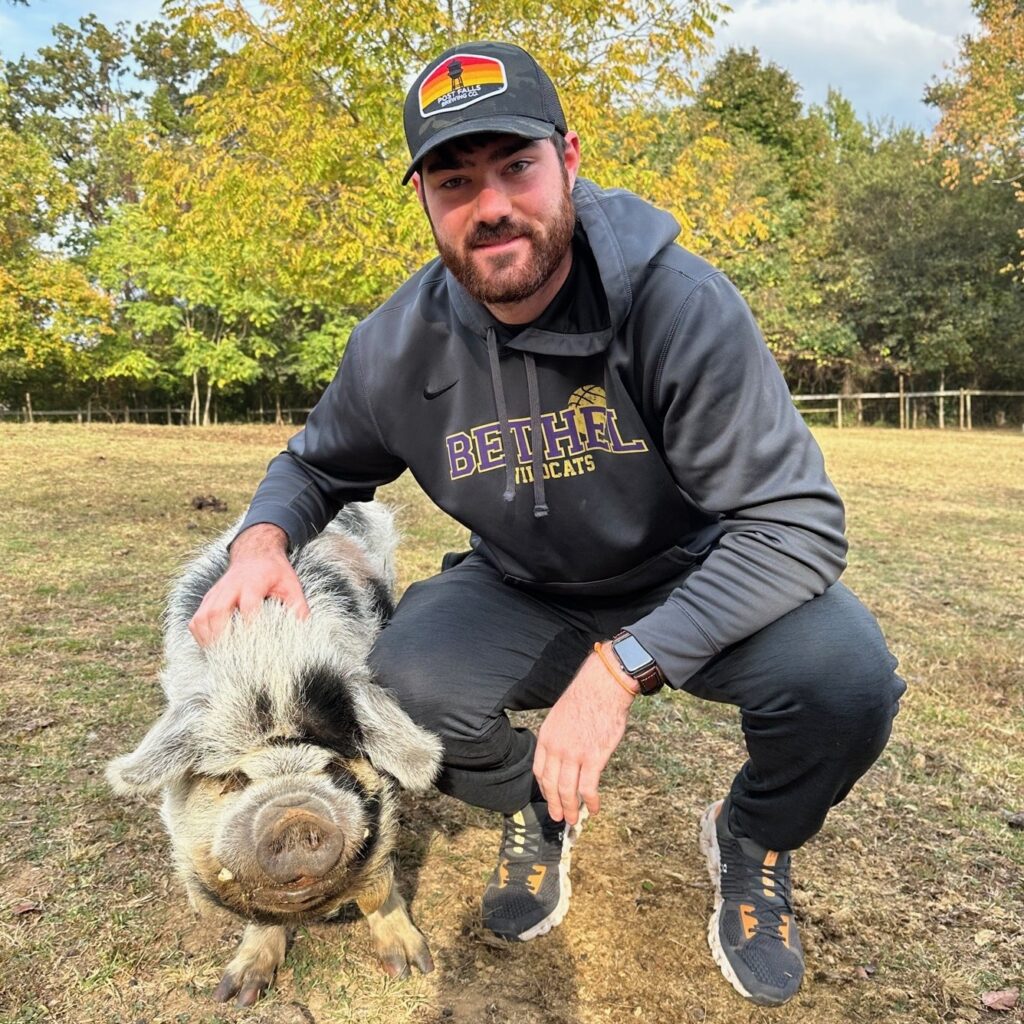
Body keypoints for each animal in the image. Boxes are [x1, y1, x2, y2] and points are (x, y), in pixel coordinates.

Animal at [105, 503, 442, 1007]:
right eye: (234, 779)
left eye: (333, 766)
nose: (295, 816)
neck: (272, 669)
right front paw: (237, 994)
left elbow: (379, 881)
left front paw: (411, 968)